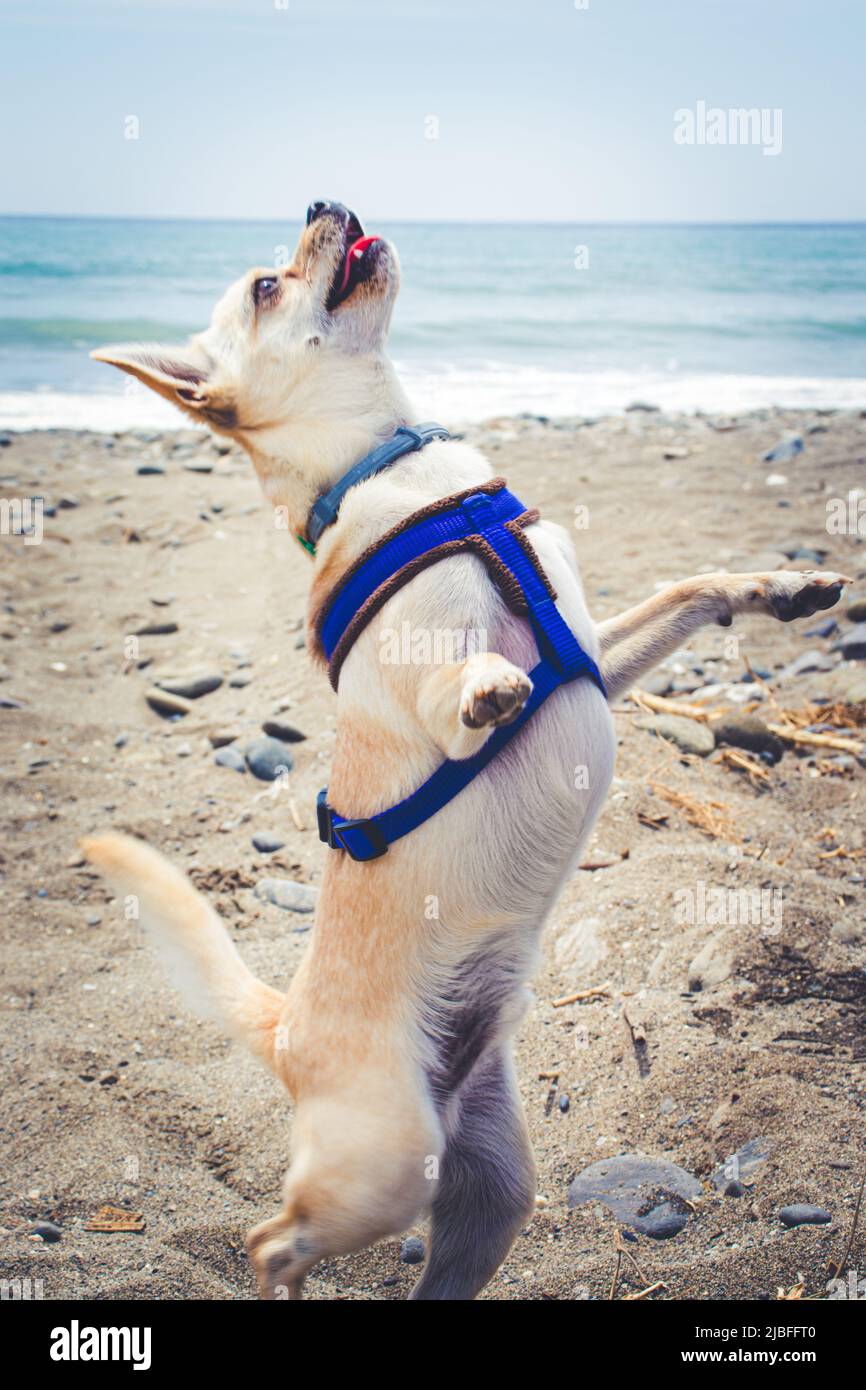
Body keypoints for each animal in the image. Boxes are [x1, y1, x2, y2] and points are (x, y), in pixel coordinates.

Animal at [86, 201, 845, 1295]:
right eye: (267, 288)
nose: (325, 204)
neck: (394, 471)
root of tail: (288, 1028)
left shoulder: (597, 657)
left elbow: (687, 587)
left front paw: (780, 585)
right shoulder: (436, 681)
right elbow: (459, 689)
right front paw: (488, 686)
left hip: (492, 1191)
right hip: (384, 1163)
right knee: (270, 1238)